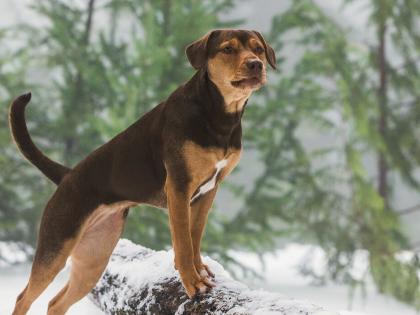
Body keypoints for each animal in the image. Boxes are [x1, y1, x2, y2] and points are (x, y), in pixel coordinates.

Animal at [9, 29, 276, 315]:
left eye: (258, 49)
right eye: (228, 49)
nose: (255, 65)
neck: (218, 115)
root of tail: (67, 175)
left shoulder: (209, 191)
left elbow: (195, 235)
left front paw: (200, 270)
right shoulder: (179, 186)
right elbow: (183, 242)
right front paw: (193, 282)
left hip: (94, 257)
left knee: (56, 302)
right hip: (56, 246)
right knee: (23, 298)